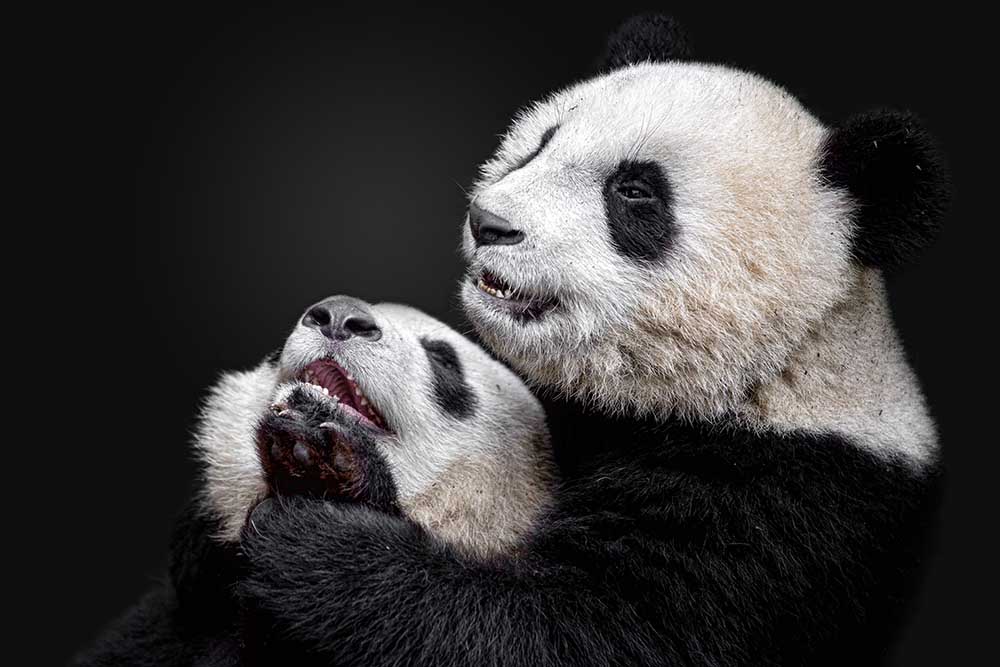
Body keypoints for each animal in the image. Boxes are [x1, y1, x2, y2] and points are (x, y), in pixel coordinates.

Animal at [232, 14, 949, 667]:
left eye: (634, 192)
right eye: (542, 142)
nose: (489, 222)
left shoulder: (780, 507)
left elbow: (574, 632)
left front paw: (319, 524)